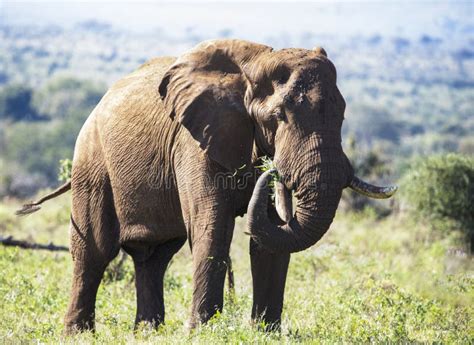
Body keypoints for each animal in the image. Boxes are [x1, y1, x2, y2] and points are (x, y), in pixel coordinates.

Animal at [17, 39, 396, 332]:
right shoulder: (194, 141)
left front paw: (265, 334)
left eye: (342, 115)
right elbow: (212, 226)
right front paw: (202, 332)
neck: (255, 65)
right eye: (278, 117)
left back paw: (148, 333)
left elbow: (271, 237)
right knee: (94, 251)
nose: (271, 171)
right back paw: (78, 334)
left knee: (154, 257)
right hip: (92, 161)